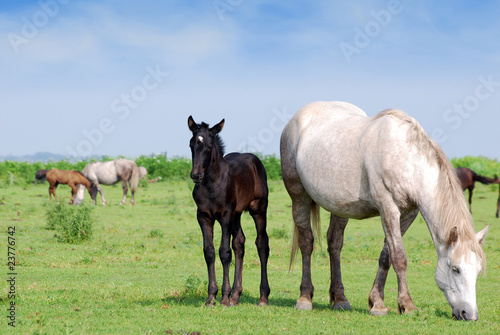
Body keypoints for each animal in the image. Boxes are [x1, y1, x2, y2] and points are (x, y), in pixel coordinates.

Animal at [188, 115, 270, 308]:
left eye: (209, 146)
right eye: (191, 144)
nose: (196, 175)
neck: (212, 184)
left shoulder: (225, 215)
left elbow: (224, 252)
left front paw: (224, 298)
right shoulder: (203, 216)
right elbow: (209, 252)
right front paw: (211, 297)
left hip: (258, 208)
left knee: (262, 243)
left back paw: (262, 297)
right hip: (237, 215)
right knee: (239, 243)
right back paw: (236, 296)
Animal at [282, 101, 488, 322]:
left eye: (477, 270)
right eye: (455, 269)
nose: (469, 314)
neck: (406, 160)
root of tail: (296, 120)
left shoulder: (408, 213)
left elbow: (386, 256)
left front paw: (377, 302)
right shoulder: (388, 208)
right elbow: (399, 258)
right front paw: (407, 304)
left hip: (339, 206)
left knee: (334, 244)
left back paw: (340, 299)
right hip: (299, 196)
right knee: (306, 243)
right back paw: (304, 298)